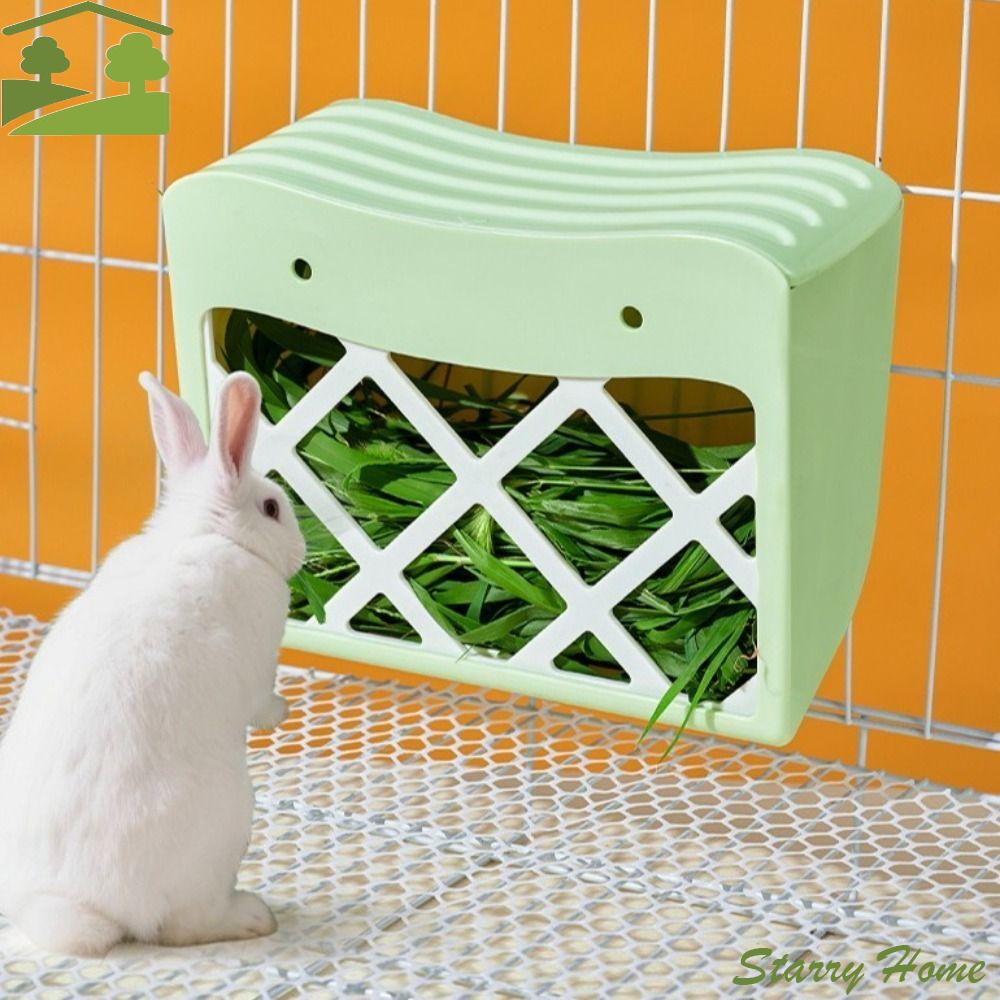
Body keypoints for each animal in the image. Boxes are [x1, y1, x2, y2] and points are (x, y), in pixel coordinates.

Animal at [0, 369, 306, 957]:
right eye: (272, 508)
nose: (302, 552)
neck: (203, 533)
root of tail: (77, 906)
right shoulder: (259, 662)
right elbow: (262, 701)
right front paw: (281, 712)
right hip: (227, 818)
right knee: (182, 925)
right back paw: (253, 918)